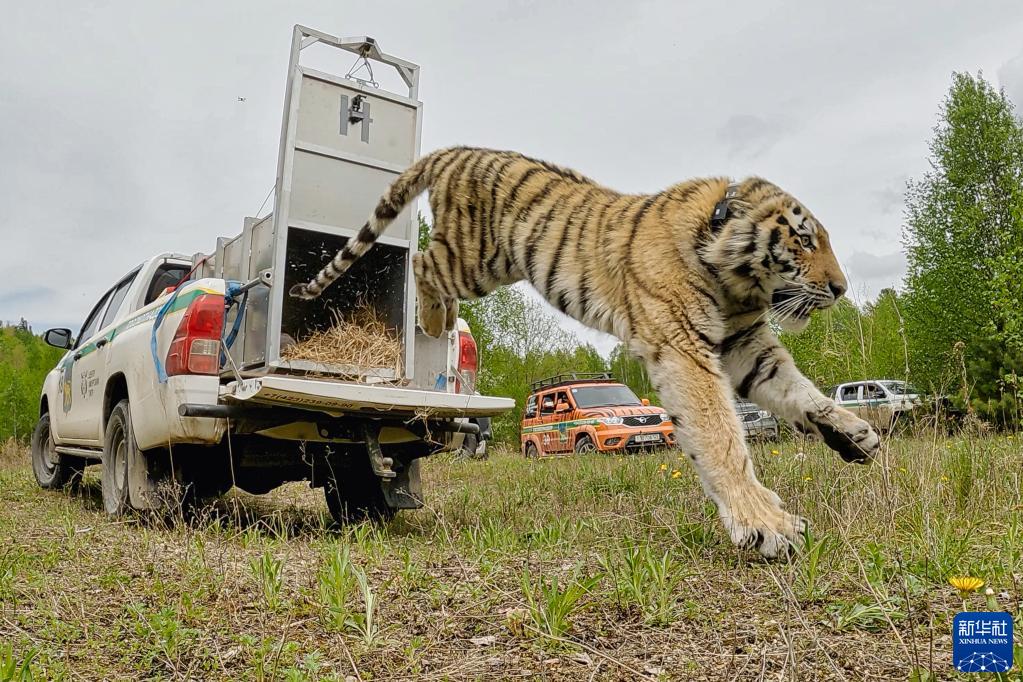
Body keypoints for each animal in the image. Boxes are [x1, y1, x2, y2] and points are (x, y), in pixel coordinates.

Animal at [292, 147, 883, 556]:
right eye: (804, 241)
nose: (840, 289)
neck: (732, 277)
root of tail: (458, 150)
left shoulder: (746, 344)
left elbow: (800, 392)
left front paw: (854, 433)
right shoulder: (684, 346)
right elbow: (721, 434)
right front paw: (766, 525)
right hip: (476, 256)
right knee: (421, 263)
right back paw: (433, 320)